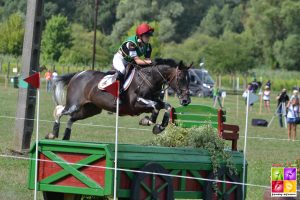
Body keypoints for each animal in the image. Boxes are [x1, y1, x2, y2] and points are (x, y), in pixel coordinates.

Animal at [46, 57, 192, 140]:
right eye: (180, 78)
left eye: (189, 78)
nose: (186, 101)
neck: (149, 79)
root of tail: (77, 75)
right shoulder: (135, 104)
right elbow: (155, 106)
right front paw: (148, 121)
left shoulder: (155, 101)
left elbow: (167, 106)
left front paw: (159, 127)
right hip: (74, 105)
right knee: (59, 111)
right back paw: (53, 133)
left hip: (91, 109)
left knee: (71, 118)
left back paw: (66, 136)